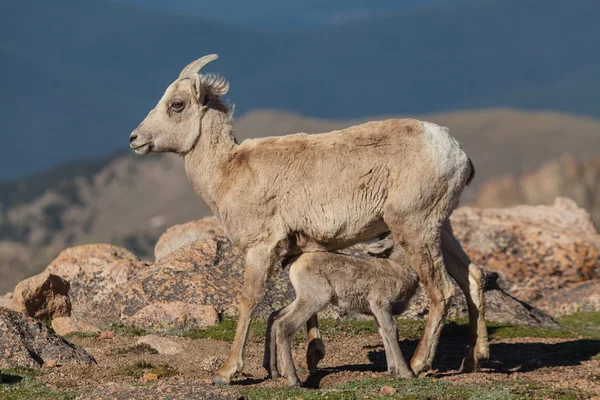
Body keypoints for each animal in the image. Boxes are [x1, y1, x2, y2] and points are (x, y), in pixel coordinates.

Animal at [264, 239, 420, 386]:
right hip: (315, 298)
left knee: (275, 317)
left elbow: (383, 334)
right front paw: (406, 373)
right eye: (403, 242)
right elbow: (391, 331)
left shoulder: (376, 311)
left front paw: (392, 371)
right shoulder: (381, 304)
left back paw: (275, 372)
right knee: (285, 326)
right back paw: (294, 380)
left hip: (302, 298)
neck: (398, 269)